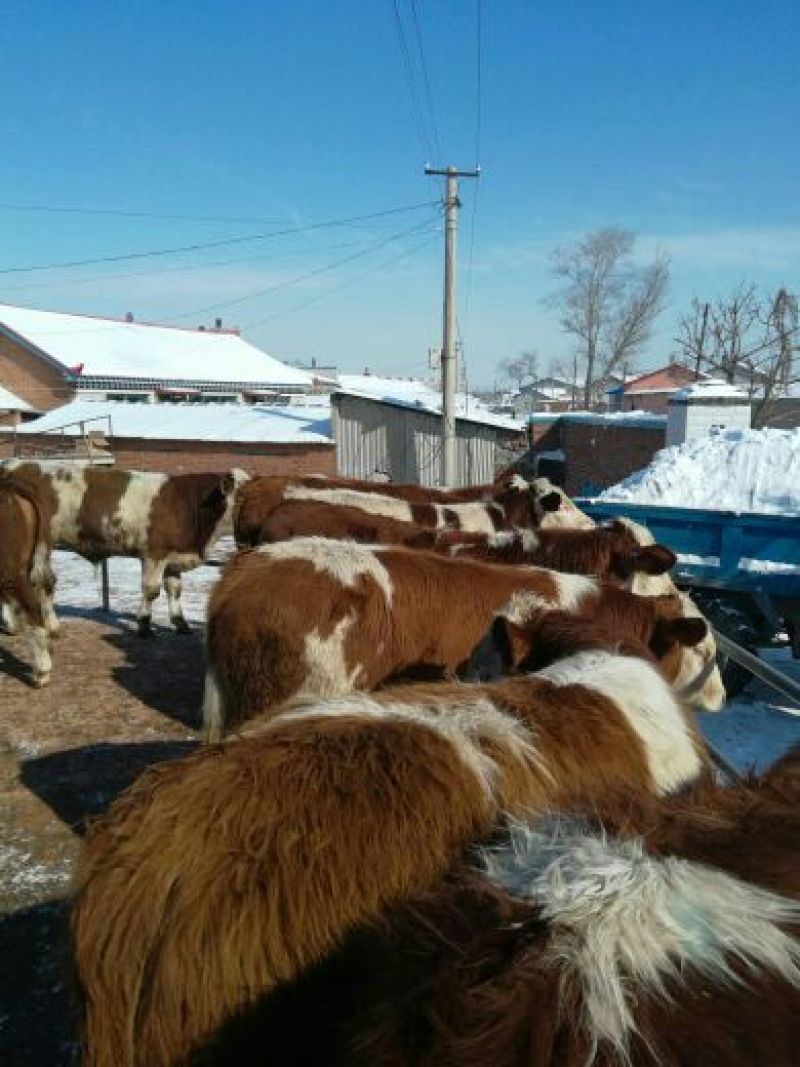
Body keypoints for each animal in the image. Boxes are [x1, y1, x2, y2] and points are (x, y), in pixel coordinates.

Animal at [3, 458, 247, 631]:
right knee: (43, 582)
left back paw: (11, 625)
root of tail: (13, 465)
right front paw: (144, 625)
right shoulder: (153, 554)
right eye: (244, 495)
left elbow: (174, 589)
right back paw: (51, 625)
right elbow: (151, 591)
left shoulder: (174, 557)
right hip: (44, 543)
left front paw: (180, 623)